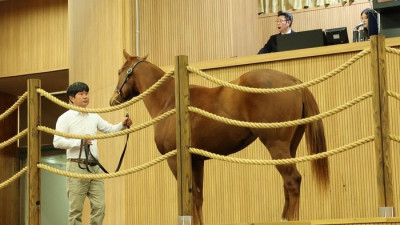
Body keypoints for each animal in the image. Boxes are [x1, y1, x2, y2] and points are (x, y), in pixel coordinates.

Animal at [109, 51, 328, 225]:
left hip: (277, 146)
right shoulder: (197, 161)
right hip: (290, 147)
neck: (170, 101)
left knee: (292, 180)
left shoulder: (175, 160)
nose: (113, 100)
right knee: (287, 183)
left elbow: (189, 197)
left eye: (120, 71)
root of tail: (294, 82)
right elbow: (197, 197)